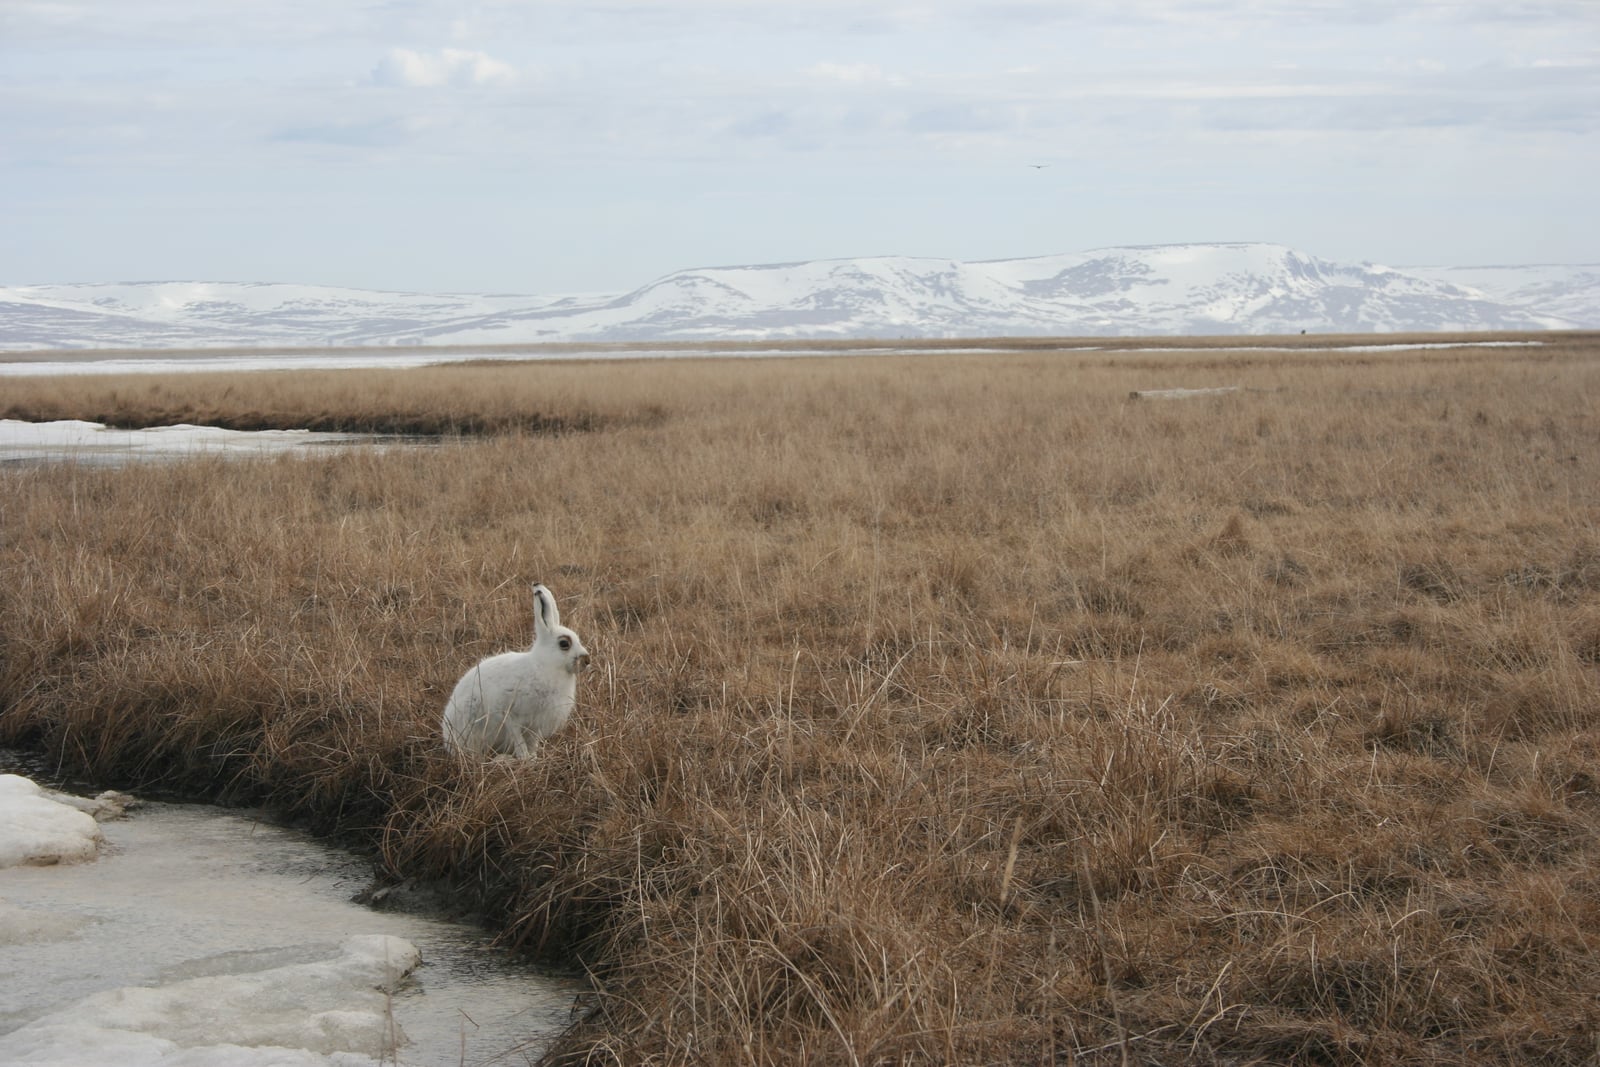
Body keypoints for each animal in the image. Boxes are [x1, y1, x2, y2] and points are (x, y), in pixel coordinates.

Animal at [441, 583, 591, 759]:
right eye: (564, 644)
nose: (587, 661)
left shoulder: (536, 724)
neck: (545, 665)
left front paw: (533, 757)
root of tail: (447, 737)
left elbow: (532, 742)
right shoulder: (510, 714)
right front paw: (525, 759)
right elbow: (518, 740)